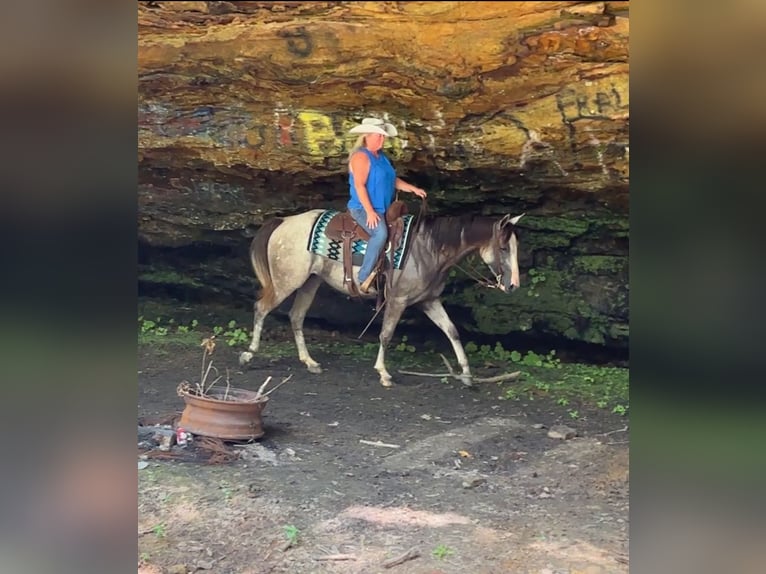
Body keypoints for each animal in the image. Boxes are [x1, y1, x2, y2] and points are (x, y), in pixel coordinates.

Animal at [238, 208, 524, 387]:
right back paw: (249, 354)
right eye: (503, 248)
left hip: (310, 282)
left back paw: (310, 362)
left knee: (296, 317)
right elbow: (386, 334)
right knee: (261, 308)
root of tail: (284, 221)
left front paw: (466, 374)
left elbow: (452, 331)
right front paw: (383, 373)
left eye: (515, 247)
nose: (513, 286)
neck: (427, 249)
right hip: (287, 281)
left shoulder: (428, 301)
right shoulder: (397, 300)